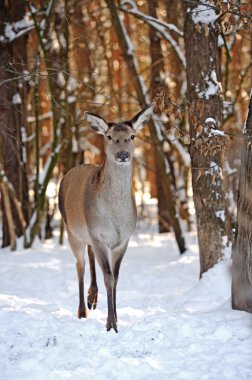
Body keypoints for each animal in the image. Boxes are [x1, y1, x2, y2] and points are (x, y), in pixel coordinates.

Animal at [58, 104, 154, 332]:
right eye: (109, 136)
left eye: (132, 136)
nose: (122, 154)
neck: (115, 217)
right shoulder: (99, 235)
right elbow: (108, 277)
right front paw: (111, 323)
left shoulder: (123, 239)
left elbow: (116, 277)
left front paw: (117, 317)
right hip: (71, 229)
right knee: (80, 265)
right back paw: (82, 310)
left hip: (88, 233)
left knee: (89, 254)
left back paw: (92, 297)